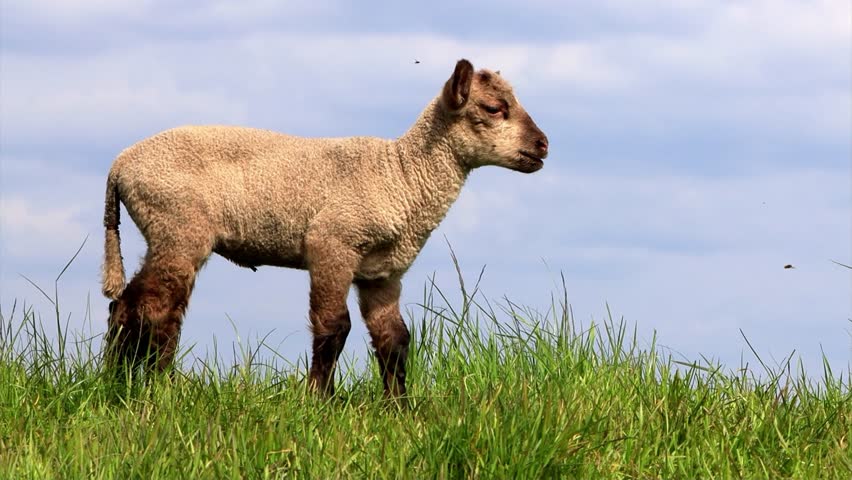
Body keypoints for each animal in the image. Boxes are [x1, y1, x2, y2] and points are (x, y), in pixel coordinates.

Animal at [101, 59, 549, 397]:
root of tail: (120, 166)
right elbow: (334, 326)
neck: (400, 175)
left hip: (163, 230)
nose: (543, 145)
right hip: (178, 225)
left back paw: (116, 380)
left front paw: (399, 408)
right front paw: (319, 400)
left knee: (126, 305)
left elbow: (395, 339)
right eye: (493, 108)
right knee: (157, 310)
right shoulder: (332, 244)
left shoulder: (382, 272)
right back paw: (159, 386)